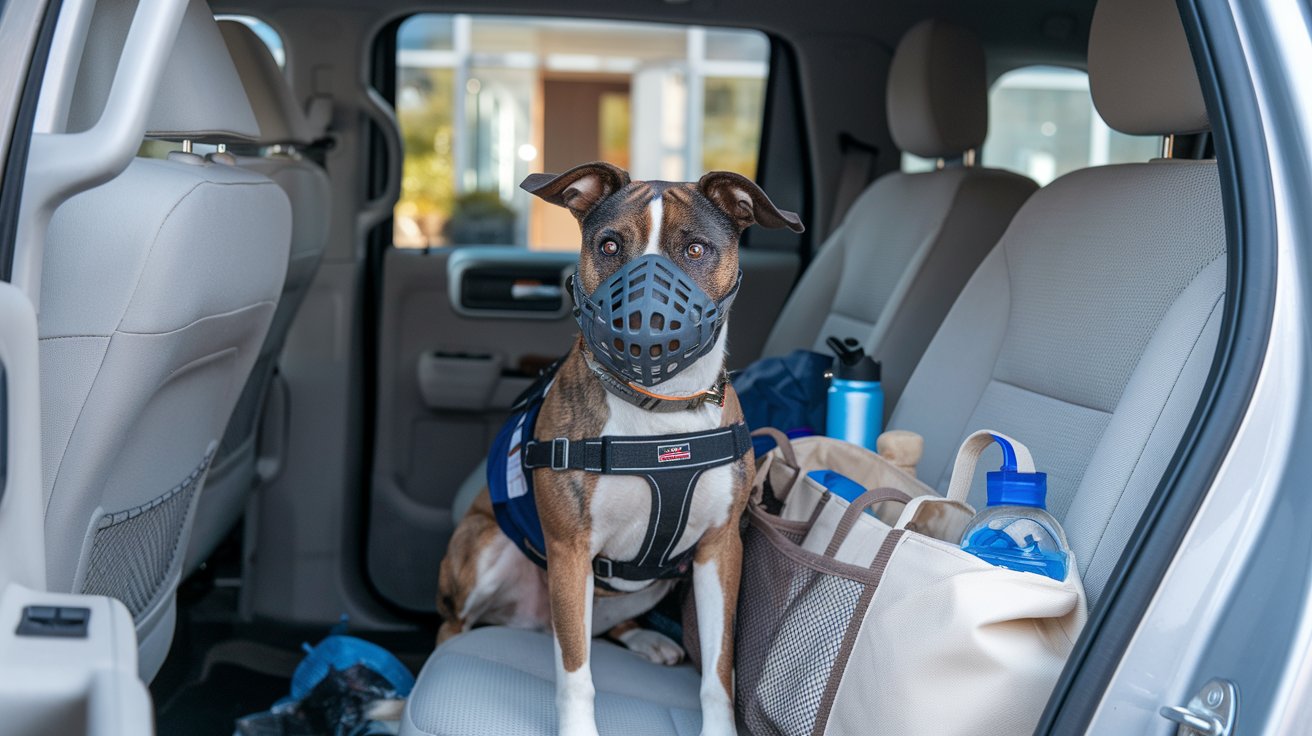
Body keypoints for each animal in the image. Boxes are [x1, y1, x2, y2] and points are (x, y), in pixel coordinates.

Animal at [438, 162, 797, 734]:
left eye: (695, 249)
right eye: (609, 245)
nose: (644, 323)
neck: (661, 412)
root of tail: (531, 621)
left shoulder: (720, 551)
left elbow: (719, 670)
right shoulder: (570, 551)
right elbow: (575, 673)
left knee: (605, 628)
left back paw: (648, 639)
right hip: (485, 549)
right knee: (455, 626)